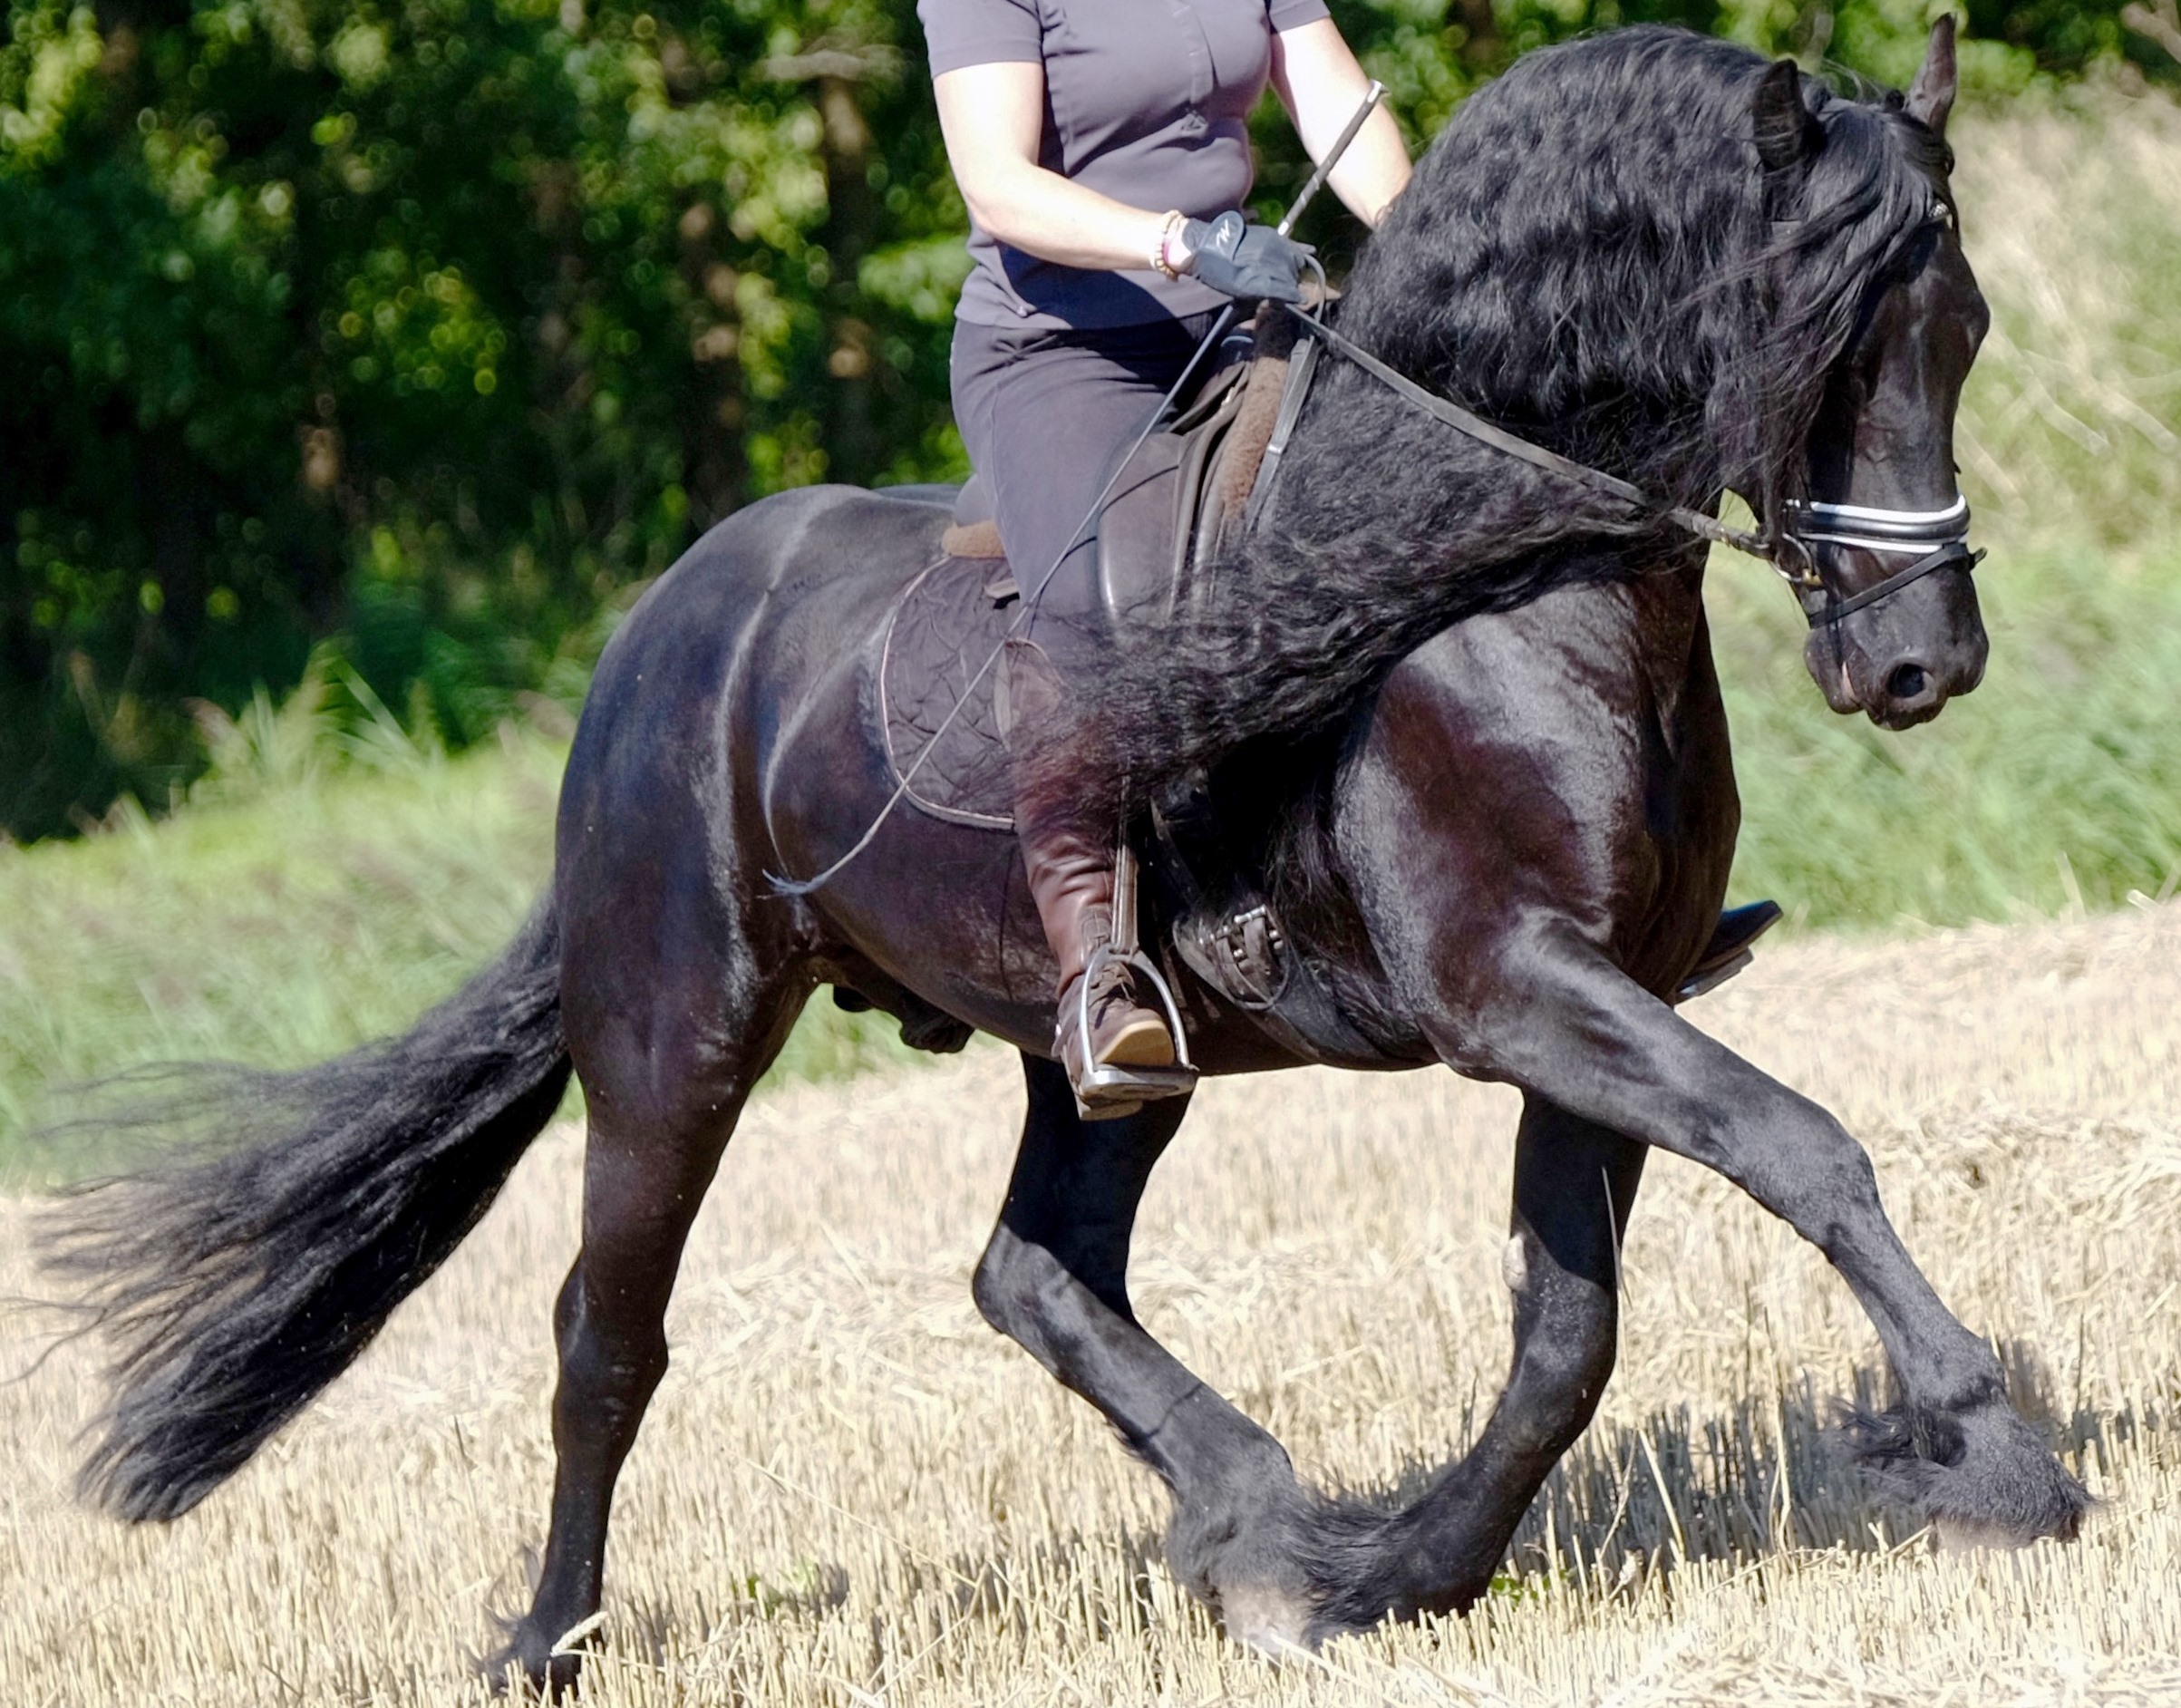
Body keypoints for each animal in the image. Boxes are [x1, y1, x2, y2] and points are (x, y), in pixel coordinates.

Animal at [51, 23, 2085, 1693]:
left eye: (1967, 330)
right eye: (1819, 343)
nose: (1922, 666)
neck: (1490, 573)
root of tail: (660, 633)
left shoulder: (1601, 997)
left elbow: (1566, 1328)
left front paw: (1399, 1569)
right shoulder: (1516, 987)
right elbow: (1798, 1147)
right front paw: (1994, 1453)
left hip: (1094, 1046)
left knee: (1035, 1269)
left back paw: (1256, 1524)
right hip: (672, 1041)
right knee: (604, 1335)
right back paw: (552, 1637)